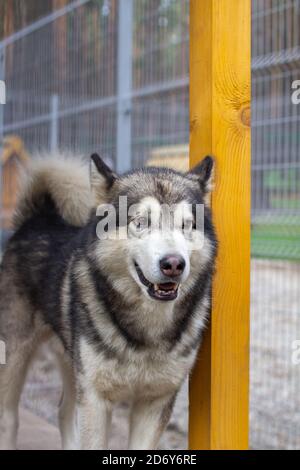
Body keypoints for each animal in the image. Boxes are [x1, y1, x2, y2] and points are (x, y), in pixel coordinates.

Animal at [0, 152, 216, 450]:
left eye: (187, 225)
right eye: (141, 222)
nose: (173, 264)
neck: (145, 331)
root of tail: (39, 218)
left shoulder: (155, 401)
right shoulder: (95, 398)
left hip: (70, 361)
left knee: (63, 411)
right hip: (14, 357)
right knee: (9, 417)